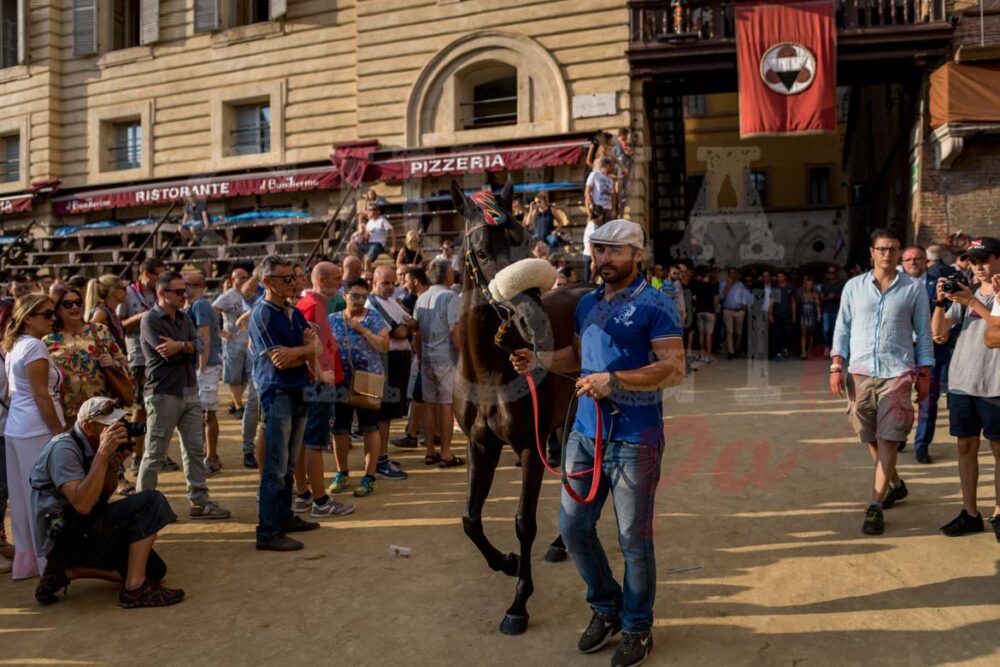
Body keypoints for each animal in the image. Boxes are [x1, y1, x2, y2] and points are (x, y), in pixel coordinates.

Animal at [450, 179, 590, 635]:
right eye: (482, 252)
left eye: (526, 241)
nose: (533, 323)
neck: (491, 373)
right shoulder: (480, 444)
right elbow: (470, 518)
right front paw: (507, 563)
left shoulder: (529, 444)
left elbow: (523, 522)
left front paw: (518, 604)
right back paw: (561, 543)